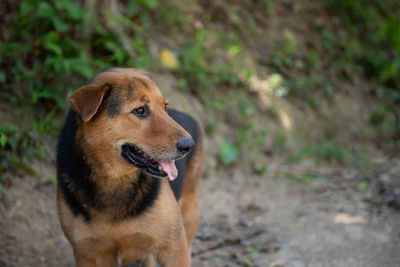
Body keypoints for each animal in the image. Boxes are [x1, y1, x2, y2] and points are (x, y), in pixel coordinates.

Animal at [56, 68, 203, 266]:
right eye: (140, 110)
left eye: (164, 107)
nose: (189, 145)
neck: (114, 179)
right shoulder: (89, 254)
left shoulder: (173, 248)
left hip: (189, 213)